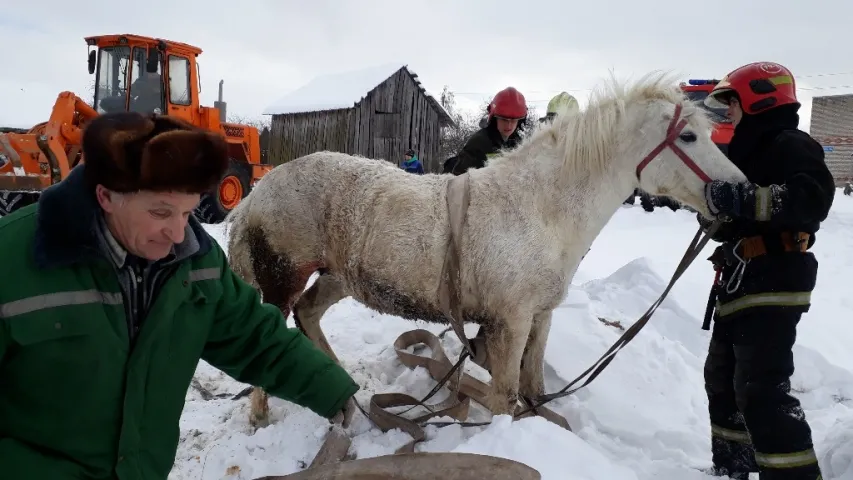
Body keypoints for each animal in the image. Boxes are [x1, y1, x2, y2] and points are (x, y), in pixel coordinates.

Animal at [225, 72, 744, 428]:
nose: (737, 192)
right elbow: (504, 397)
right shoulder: (509, 322)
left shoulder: (539, 316)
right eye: (689, 136)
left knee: (309, 313)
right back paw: (262, 413)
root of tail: (260, 191)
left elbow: (532, 386)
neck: (539, 209)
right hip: (283, 276)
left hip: (339, 277)